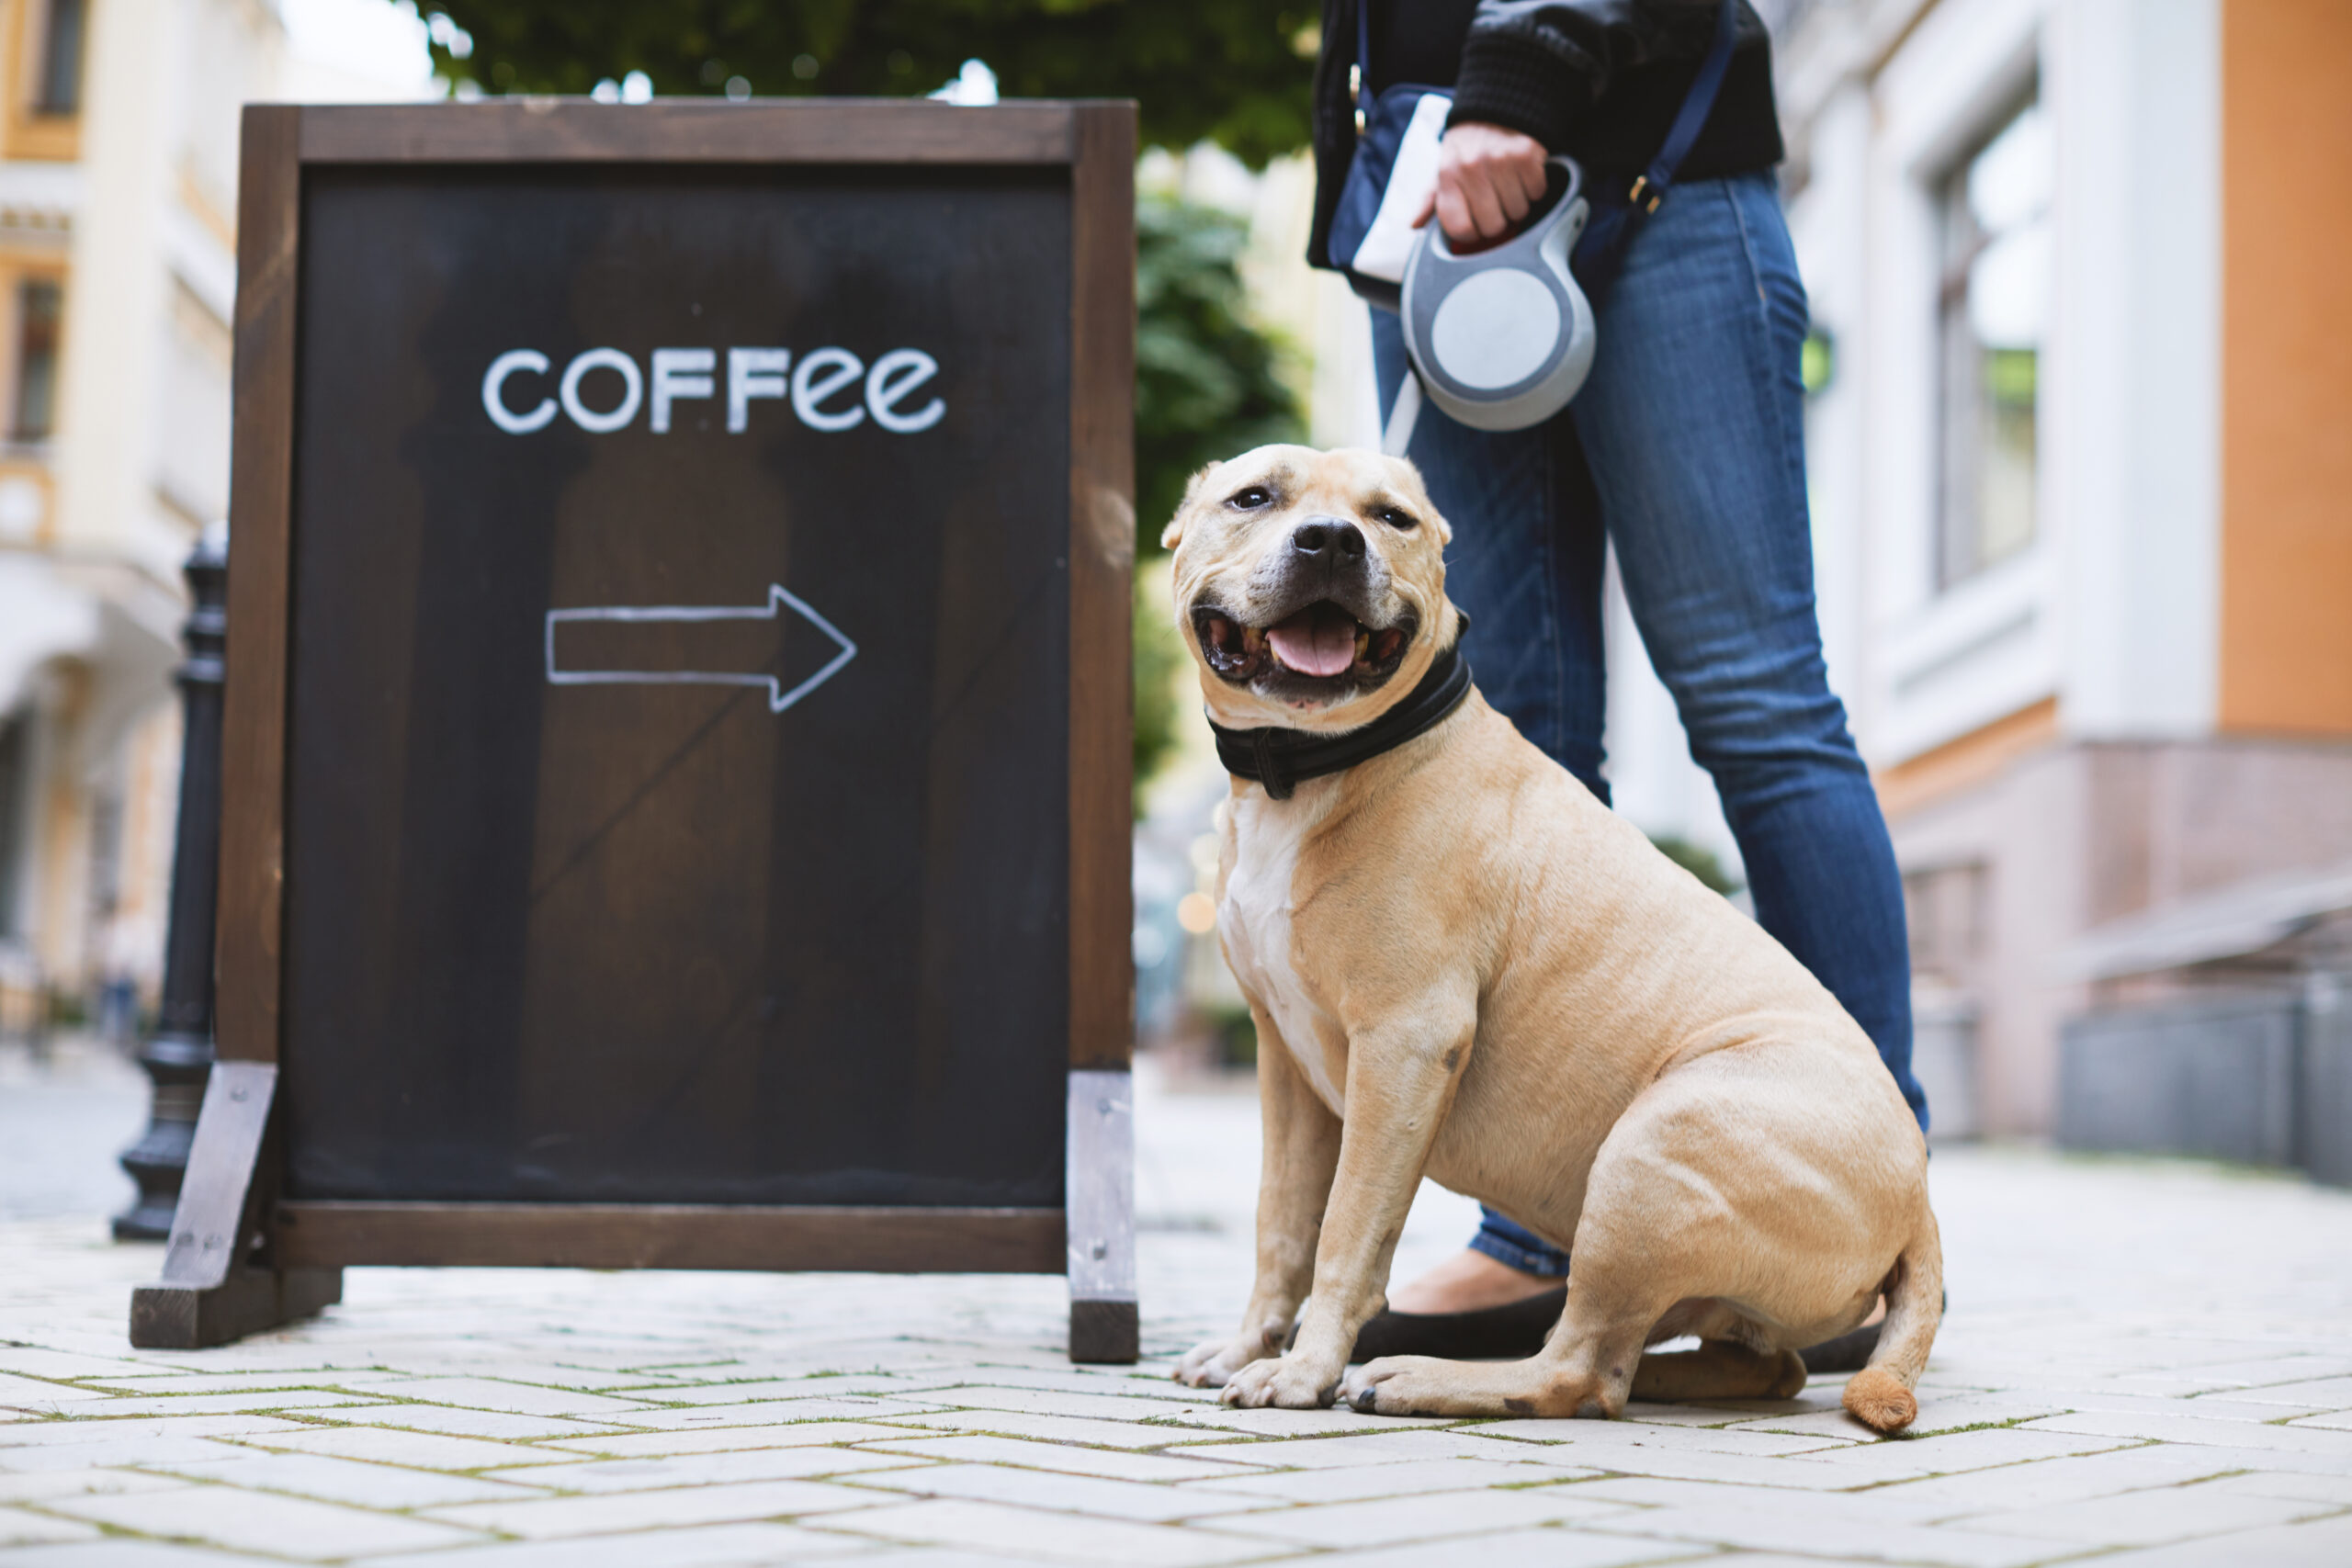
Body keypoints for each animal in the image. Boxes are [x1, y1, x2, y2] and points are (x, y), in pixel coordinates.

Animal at [1161, 442, 1947, 1438]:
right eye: (1253, 498)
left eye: (1391, 517)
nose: (1331, 541)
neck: (1310, 767)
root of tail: (1918, 1198)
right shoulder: (1285, 1065)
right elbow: (1281, 1227)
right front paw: (1245, 1348)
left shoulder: (1403, 1045)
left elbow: (1345, 1229)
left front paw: (1303, 1369)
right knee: (1746, 1365)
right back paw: (1665, 1374)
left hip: (1654, 1146)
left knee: (1578, 1371)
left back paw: (1421, 1377)